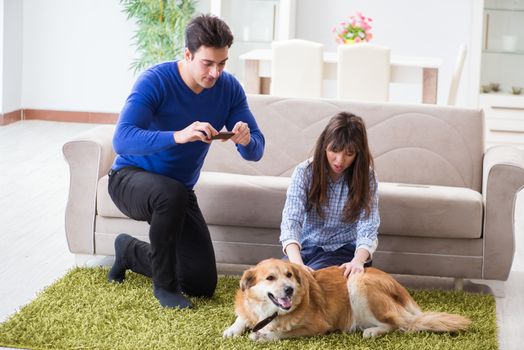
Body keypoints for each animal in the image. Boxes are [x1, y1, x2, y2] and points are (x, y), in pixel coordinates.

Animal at [221, 258, 470, 340]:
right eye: (270, 278)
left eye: (289, 275)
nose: (290, 290)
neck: (269, 312)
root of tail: (398, 286)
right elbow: (242, 317)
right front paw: (233, 329)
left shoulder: (317, 326)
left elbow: (283, 332)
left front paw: (264, 335)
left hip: (358, 283)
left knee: (397, 324)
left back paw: (372, 331)